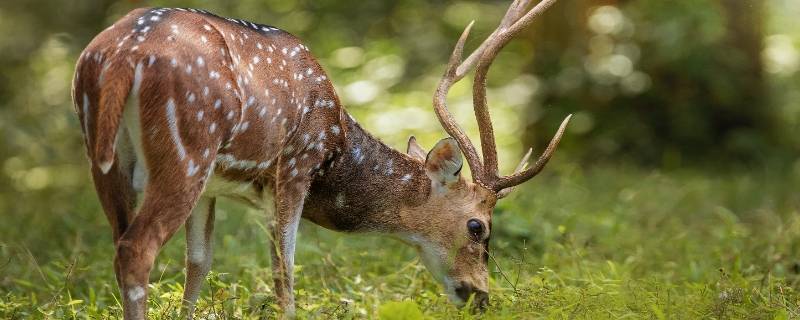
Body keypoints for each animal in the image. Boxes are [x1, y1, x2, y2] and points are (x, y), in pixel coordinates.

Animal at [70, 0, 568, 318]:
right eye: (477, 226)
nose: (482, 296)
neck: (337, 143)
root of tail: (121, 54)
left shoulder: (214, 186)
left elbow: (199, 263)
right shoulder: (295, 163)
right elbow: (284, 267)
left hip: (108, 158)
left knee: (119, 243)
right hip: (187, 147)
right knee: (137, 248)